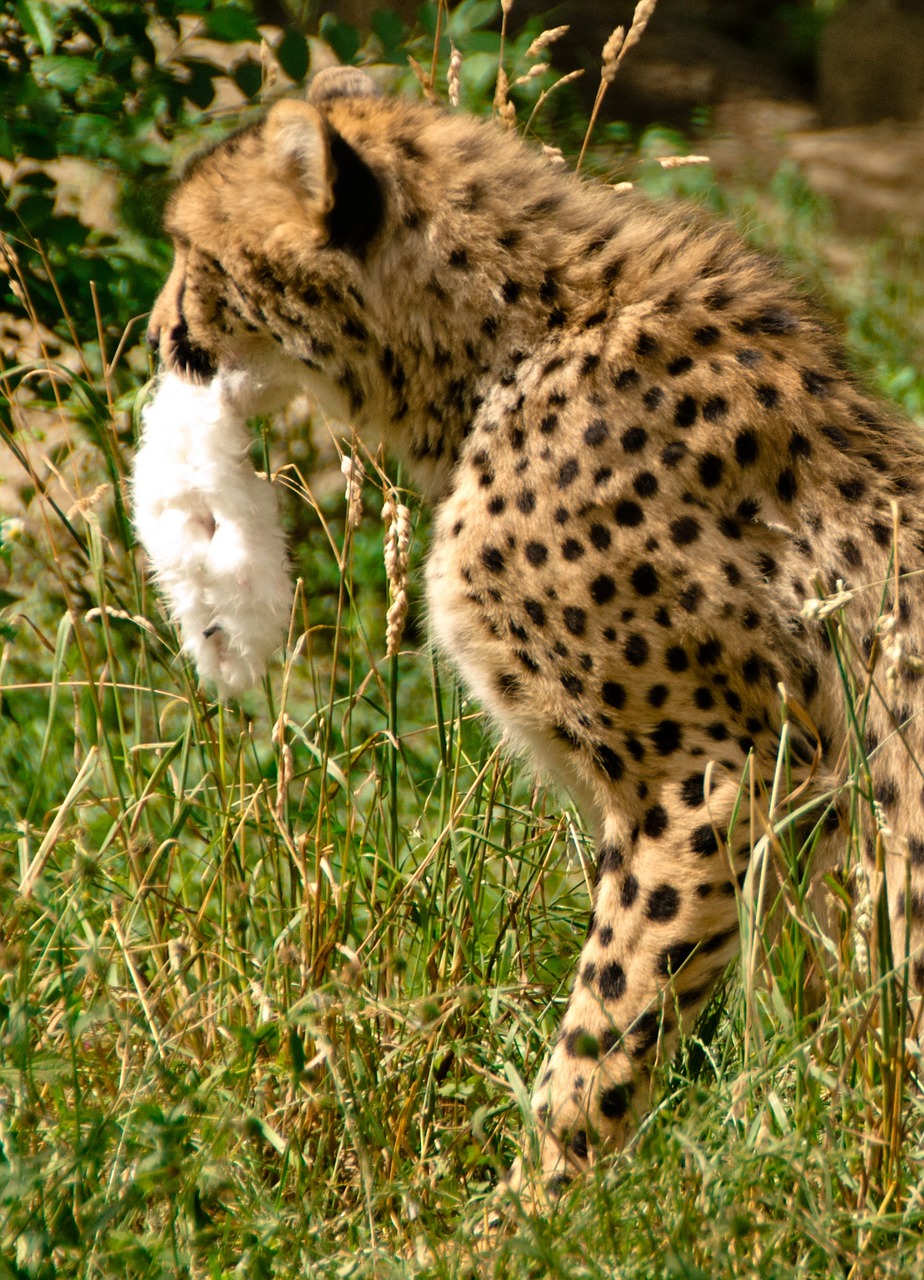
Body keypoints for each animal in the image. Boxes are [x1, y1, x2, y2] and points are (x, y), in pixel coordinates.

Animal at [135, 67, 921, 1187]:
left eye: (195, 254)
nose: (157, 332)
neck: (515, 341)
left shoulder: (717, 775)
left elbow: (608, 1022)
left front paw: (535, 1202)